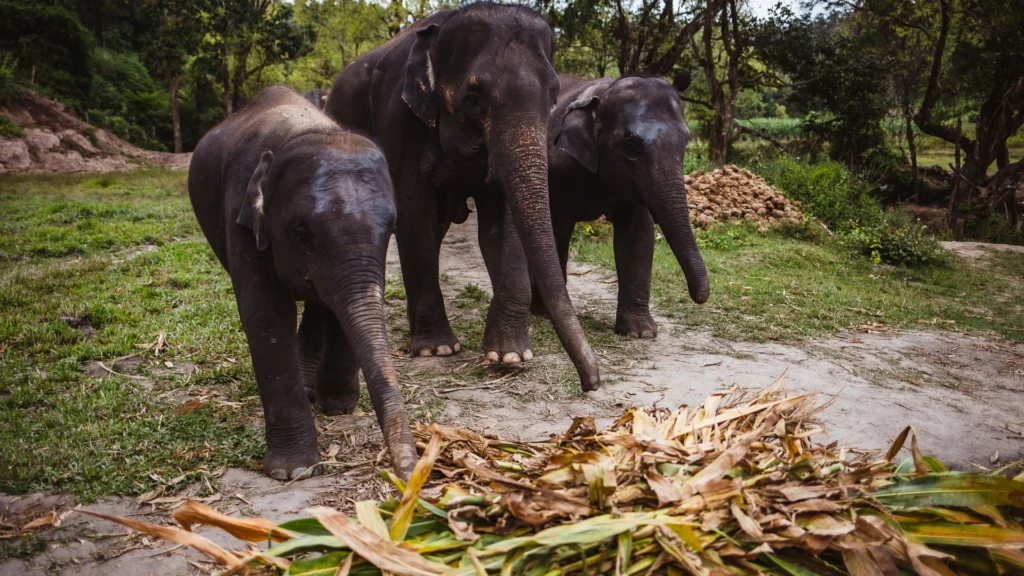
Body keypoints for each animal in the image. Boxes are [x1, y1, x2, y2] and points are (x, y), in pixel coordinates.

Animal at [188, 85, 415, 479]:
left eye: (392, 228)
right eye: (302, 234)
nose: (410, 475)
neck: (306, 132)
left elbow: (342, 306)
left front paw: (338, 407)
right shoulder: (240, 213)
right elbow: (265, 314)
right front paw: (293, 471)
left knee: (319, 302)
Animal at [323, 2, 598, 389]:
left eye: (554, 96)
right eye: (473, 99)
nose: (592, 382)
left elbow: (502, 226)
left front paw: (510, 355)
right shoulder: (398, 120)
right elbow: (414, 215)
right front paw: (437, 349)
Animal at [532, 76, 708, 336]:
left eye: (686, 141)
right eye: (631, 148)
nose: (700, 298)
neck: (604, 92)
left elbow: (638, 233)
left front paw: (640, 332)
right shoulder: (556, 170)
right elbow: (554, 229)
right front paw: (545, 313)